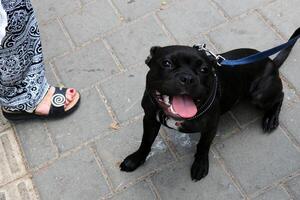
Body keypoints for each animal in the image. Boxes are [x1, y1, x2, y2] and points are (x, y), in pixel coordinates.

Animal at [120, 27, 300, 181]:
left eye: (204, 70)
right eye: (166, 63)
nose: (187, 78)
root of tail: (272, 62)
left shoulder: (211, 126)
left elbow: (203, 146)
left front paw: (200, 165)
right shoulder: (149, 118)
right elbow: (146, 140)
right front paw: (136, 158)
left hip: (260, 95)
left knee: (280, 96)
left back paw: (271, 118)